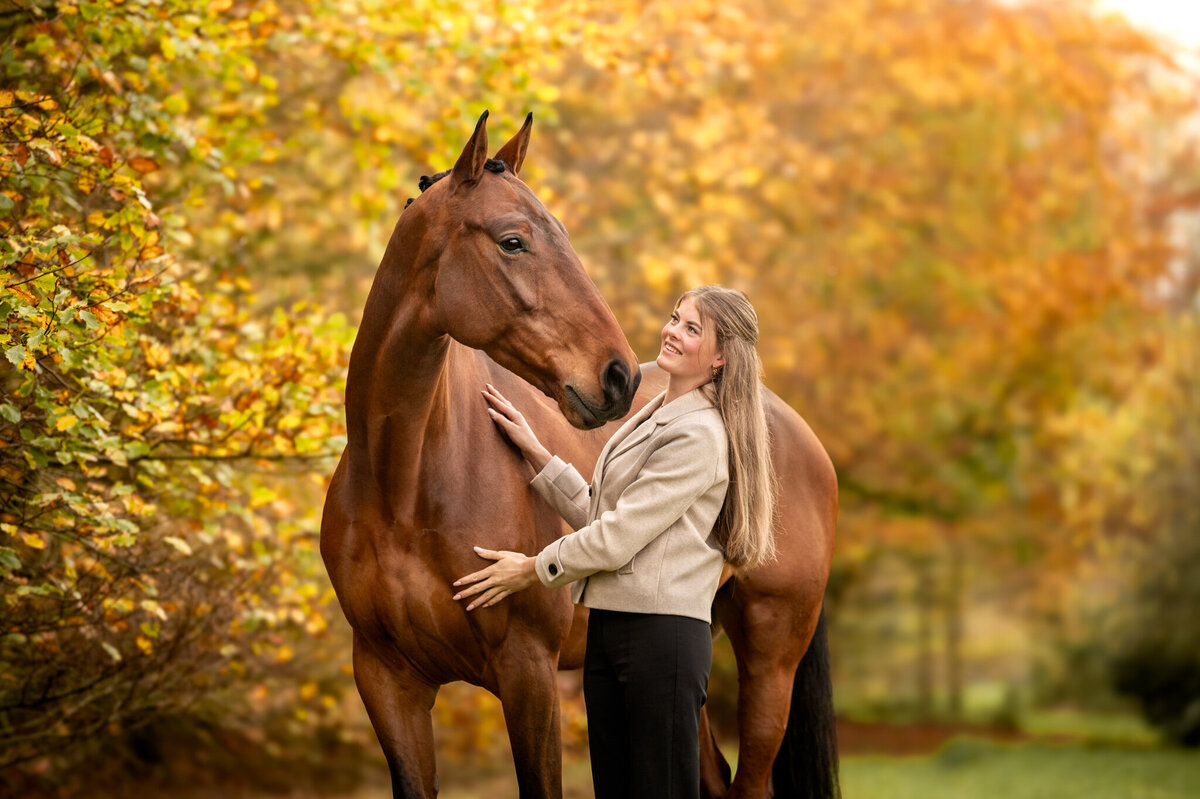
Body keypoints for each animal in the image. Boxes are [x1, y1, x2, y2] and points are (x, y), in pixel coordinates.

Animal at [320, 111, 840, 799]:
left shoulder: (529, 674)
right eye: (513, 241)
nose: (619, 375)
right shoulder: (386, 682)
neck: (403, 483)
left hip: (770, 660)